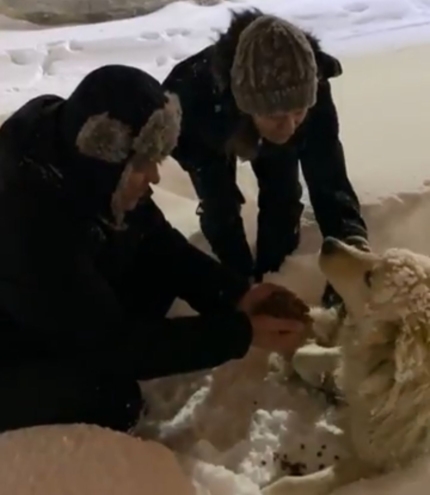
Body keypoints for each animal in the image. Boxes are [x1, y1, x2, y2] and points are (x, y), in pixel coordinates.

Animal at [262, 236, 430, 495]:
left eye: (369, 278)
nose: (330, 241)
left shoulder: (381, 459)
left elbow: (303, 482)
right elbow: (304, 355)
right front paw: (322, 380)